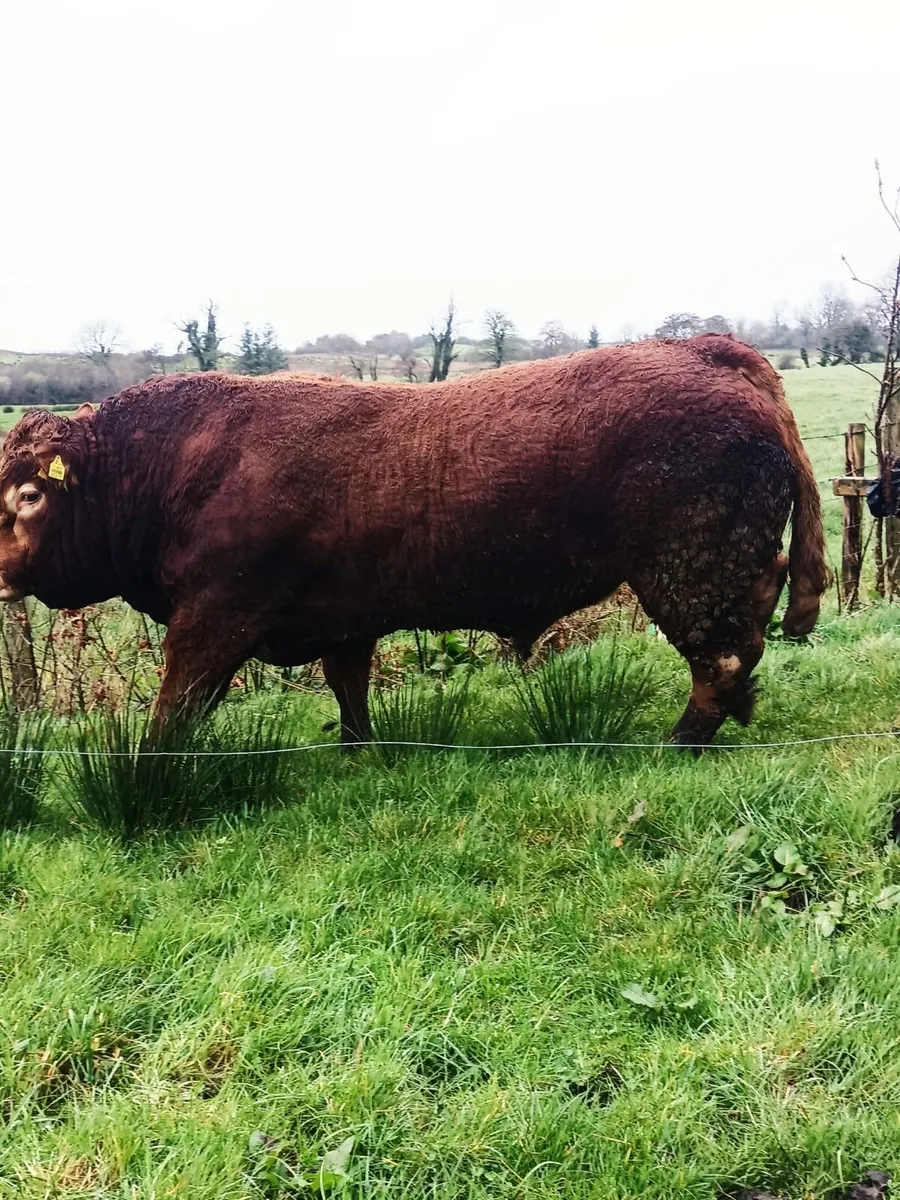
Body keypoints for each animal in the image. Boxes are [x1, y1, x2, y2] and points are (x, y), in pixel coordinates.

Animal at [0, 334, 826, 749]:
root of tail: (710, 349)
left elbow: (175, 710)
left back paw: (680, 739)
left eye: (28, 494)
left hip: (688, 570)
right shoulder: (342, 618)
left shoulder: (214, 615)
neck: (169, 464)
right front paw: (356, 749)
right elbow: (348, 687)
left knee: (722, 657)